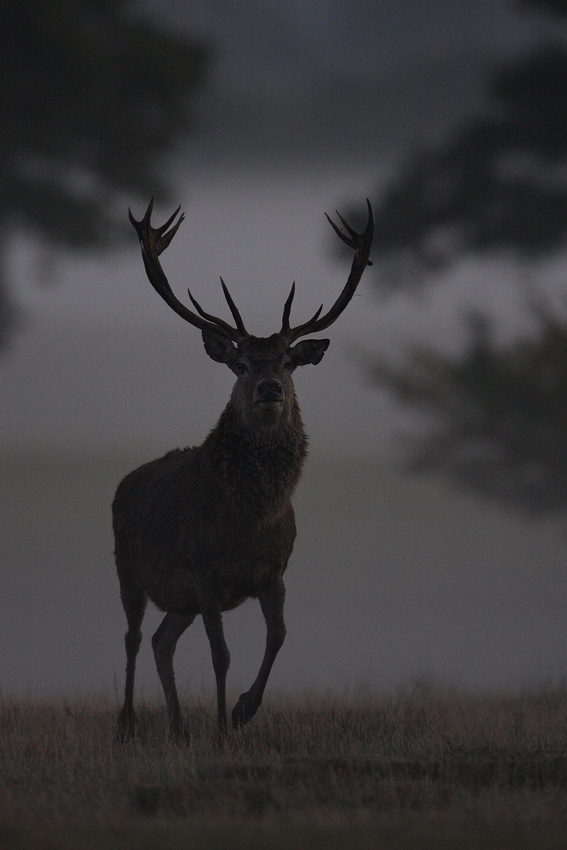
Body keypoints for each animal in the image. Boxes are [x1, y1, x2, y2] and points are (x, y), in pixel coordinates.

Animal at [113, 195, 374, 740]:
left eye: (288, 362)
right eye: (241, 365)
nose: (269, 388)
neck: (249, 520)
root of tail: (123, 484)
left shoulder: (273, 573)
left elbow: (279, 637)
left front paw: (241, 711)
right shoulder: (204, 572)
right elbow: (221, 654)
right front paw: (221, 730)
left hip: (179, 599)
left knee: (162, 641)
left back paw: (178, 729)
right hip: (128, 566)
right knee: (133, 636)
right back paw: (127, 725)